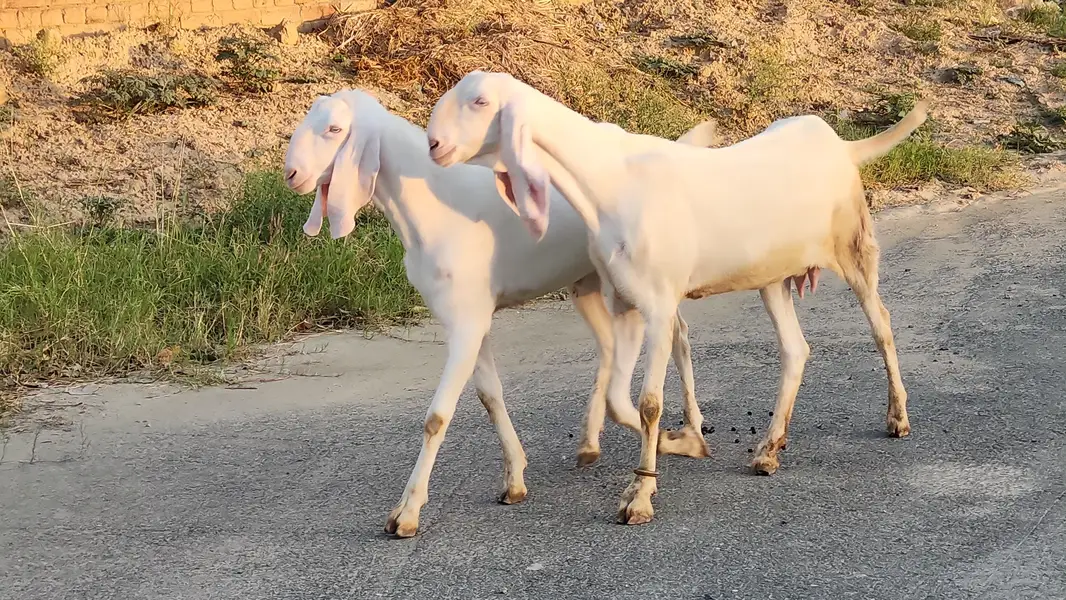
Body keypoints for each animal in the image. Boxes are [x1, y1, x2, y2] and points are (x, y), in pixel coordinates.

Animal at [282, 88, 720, 537]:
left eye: (335, 129)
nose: (292, 174)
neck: (435, 209)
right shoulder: (469, 319)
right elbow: (490, 395)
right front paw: (515, 480)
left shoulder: (467, 322)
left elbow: (437, 417)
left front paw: (407, 512)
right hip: (588, 283)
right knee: (614, 348)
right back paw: (592, 442)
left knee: (677, 332)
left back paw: (688, 430)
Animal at [426, 70, 925, 525]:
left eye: (480, 101)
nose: (434, 145)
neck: (608, 181)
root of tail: (840, 146)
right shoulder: (627, 302)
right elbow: (619, 401)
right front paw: (682, 443)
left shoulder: (660, 304)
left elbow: (649, 403)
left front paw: (641, 496)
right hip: (772, 276)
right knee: (795, 349)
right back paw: (769, 449)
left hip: (853, 246)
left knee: (881, 323)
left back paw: (897, 417)